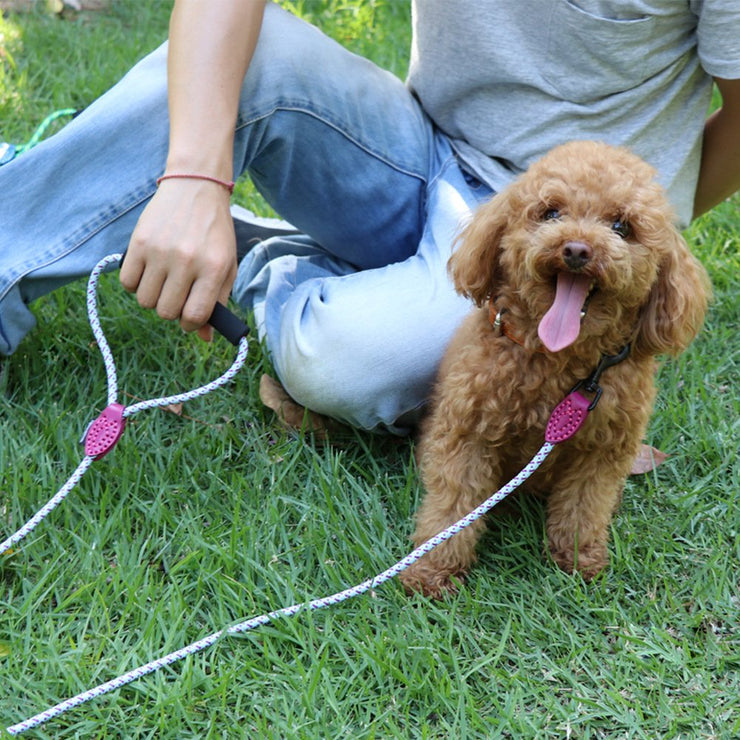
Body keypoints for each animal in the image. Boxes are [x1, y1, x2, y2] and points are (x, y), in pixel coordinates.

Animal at [402, 140, 708, 600]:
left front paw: (578, 560)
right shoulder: (467, 434)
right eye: (550, 213)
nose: (577, 250)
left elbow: (584, 505)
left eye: (621, 226)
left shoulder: (603, 451)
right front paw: (431, 572)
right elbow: (452, 508)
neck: (558, 360)